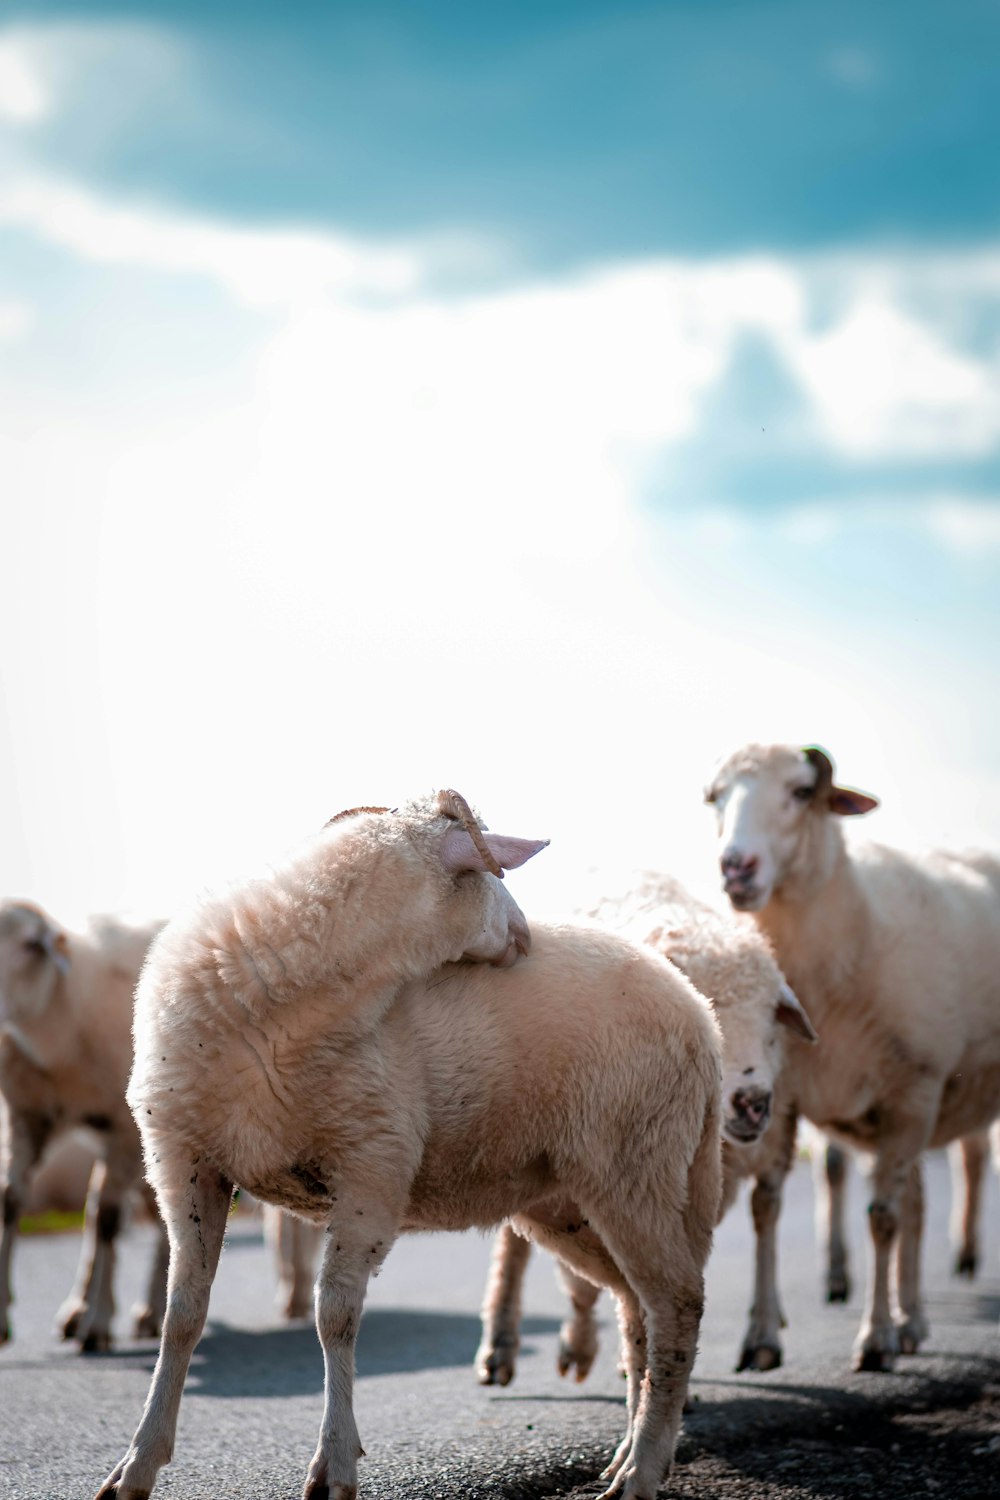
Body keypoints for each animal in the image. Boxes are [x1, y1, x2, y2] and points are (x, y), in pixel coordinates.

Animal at [0, 906, 170, 1356]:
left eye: (31, 944)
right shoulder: (27, 1116)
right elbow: (9, 1203)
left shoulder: (124, 1128)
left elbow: (108, 1220)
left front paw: (99, 1323)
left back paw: (147, 1312)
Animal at [93, 786, 722, 1500]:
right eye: (486, 875)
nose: (526, 936)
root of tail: (702, 1020)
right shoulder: (184, 1161)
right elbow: (183, 1316)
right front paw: (135, 1467)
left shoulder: (374, 1164)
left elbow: (335, 1315)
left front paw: (334, 1466)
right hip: (570, 1201)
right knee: (637, 1306)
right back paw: (629, 1456)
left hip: (636, 1162)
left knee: (677, 1303)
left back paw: (641, 1469)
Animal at [473, 876, 815, 1386]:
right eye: (710, 1010)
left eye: (772, 1023)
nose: (754, 1102)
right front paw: (584, 1345)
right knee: (517, 1244)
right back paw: (503, 1345)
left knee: (765, 1212)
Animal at [704, 741, 1000, 1374]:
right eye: (716, 796)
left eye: (800, 792)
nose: (735, 867)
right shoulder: (786, 1094)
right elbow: (767, 1206)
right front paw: (762, 1337)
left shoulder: (913, 1089)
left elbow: (883, 1218)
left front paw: (875, 1338)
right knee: (917, 1198)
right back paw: (915, 1320)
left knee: (950, 1174)